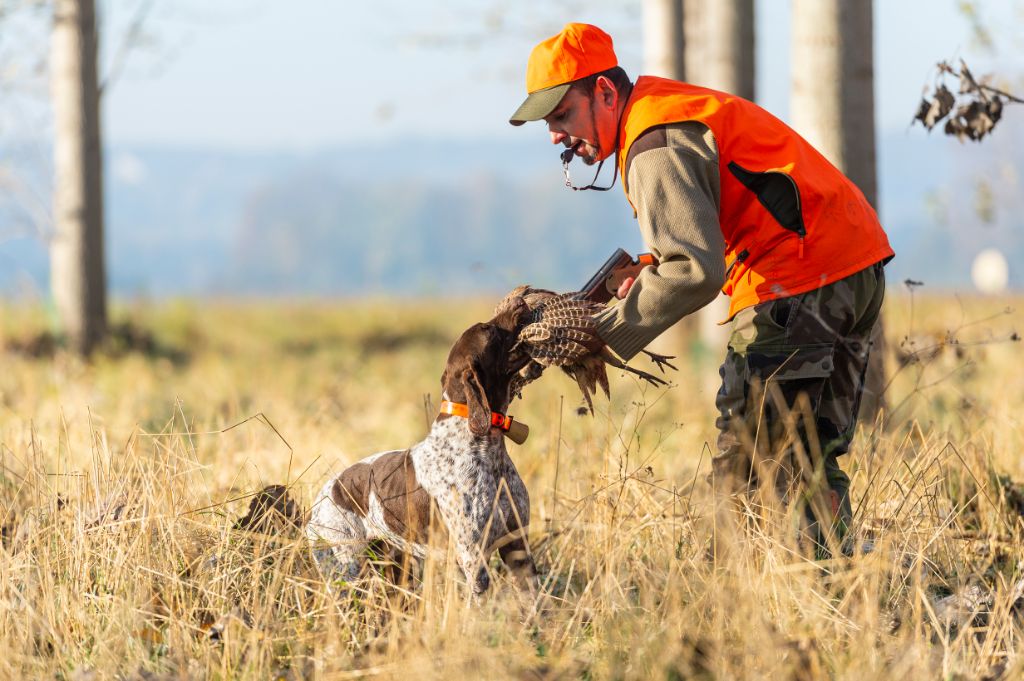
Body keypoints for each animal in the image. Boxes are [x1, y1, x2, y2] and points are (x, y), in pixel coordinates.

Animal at [305, 296, 536, 589]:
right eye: (488, 329)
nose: (520, 300)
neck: (486, 451)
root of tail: (318, 501)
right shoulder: (473, 560)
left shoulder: (518, 548)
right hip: (347, 571)